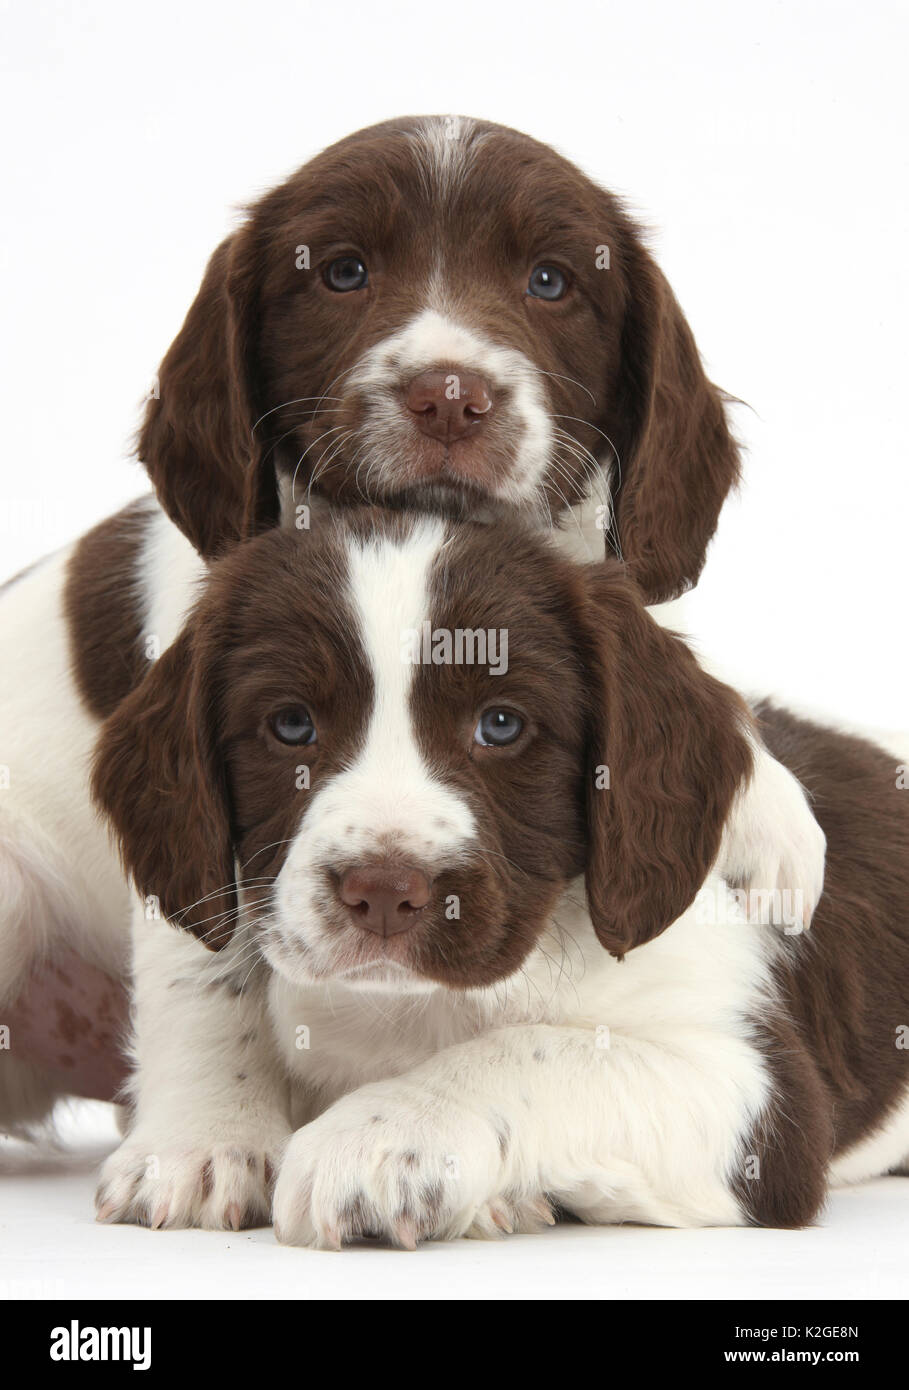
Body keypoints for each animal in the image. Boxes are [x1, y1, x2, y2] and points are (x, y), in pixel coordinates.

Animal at [82, 514, 906, 1251]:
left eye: (502, 724)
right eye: (290, 726)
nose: (385, 892)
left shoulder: (758, 1090)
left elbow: (537, 1052)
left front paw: (381, 1139)